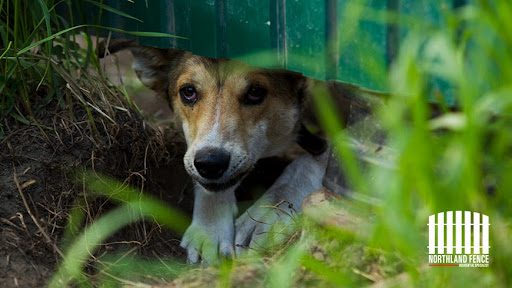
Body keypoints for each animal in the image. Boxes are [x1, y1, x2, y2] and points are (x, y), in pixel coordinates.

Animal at [98, 40, 354, 264]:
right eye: (188, 91)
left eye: (255, 92)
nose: (210, 163)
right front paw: (209, 229)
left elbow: (312, 161)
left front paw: (265, 216)